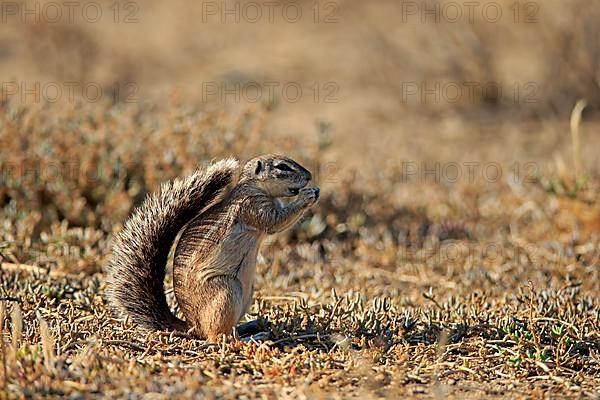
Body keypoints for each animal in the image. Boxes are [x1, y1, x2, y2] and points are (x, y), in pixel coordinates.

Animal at [106, 155, 318, 342]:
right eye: (282, 167)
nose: (309, 176)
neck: (255, 187)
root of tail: (194, 326)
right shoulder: (254, 206)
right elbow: (276, 222)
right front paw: (308, 195)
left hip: (247, 294)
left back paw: (252, 325)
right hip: (227, 292)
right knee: (217, 337)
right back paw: (252, 337)